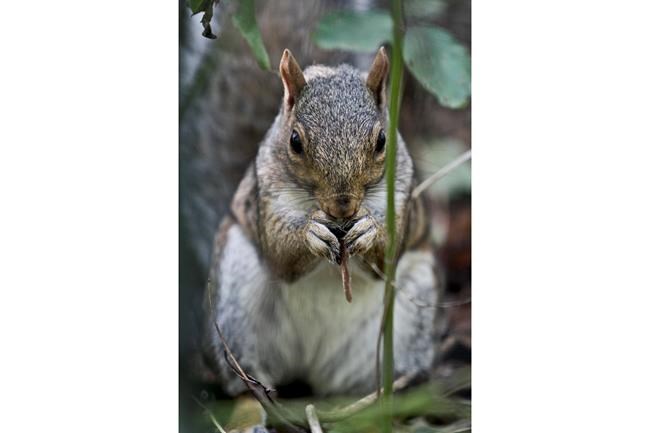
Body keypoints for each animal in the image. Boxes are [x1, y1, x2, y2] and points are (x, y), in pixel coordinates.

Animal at [200, 47, 439, 396]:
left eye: (382, 140)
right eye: (295, 141)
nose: (343, 206)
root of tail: (312, 369)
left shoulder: (401, 196)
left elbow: (388, 258)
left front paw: (370, 230)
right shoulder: (267, 198)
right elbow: (280, 255)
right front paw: (309, 233)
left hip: (413, 307)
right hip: (235, 296)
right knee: (248, 377)